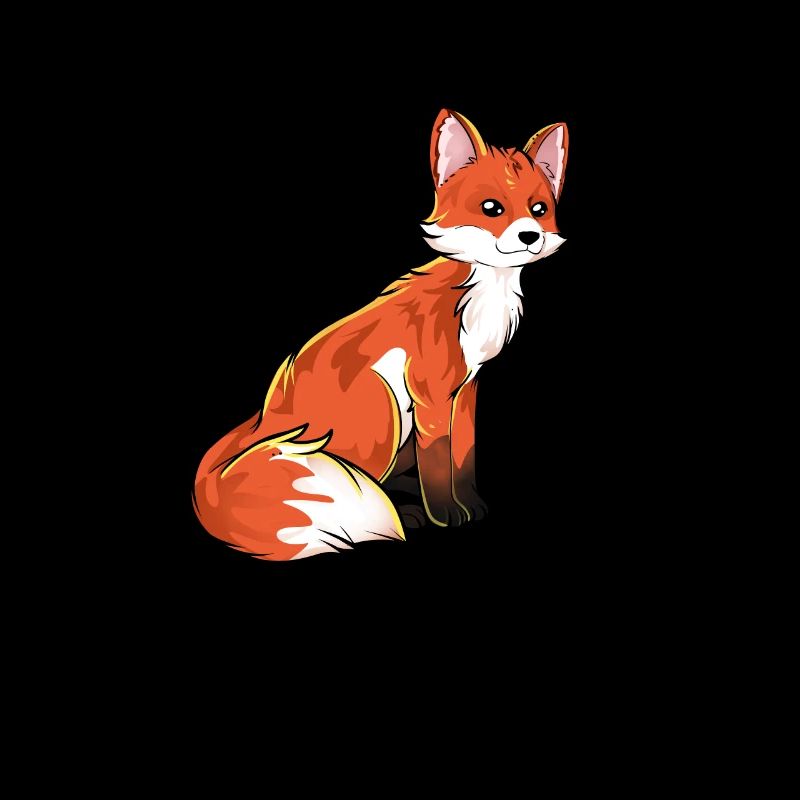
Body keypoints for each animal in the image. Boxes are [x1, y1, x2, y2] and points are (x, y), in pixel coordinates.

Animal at [193, 109, 569, 560]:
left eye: (539, 209)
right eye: (492, 209)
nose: (530, 236)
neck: (479, 298)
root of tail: (264, 419)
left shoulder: (466, 389)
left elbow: (463, 457)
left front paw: (471, 505)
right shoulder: (430, 393)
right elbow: (438, 464)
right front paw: (446, 514)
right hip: (384, 403)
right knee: (373, 478)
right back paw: (405, 510)